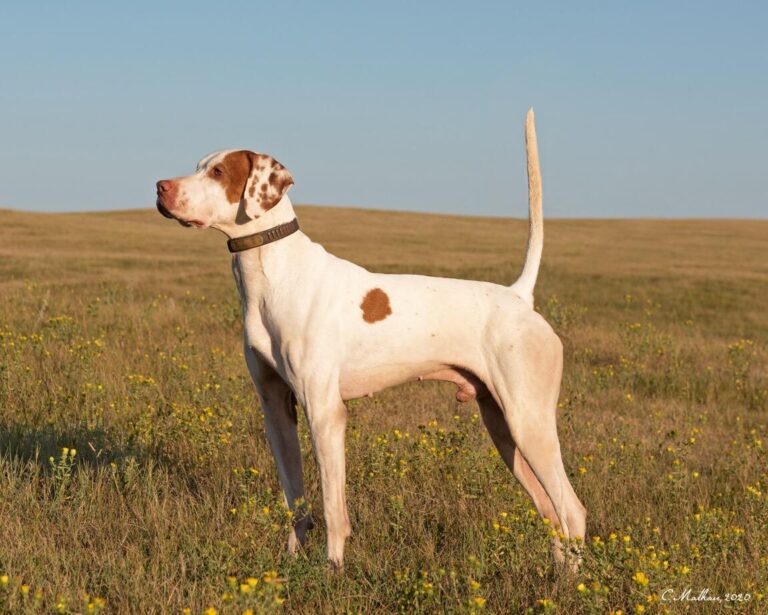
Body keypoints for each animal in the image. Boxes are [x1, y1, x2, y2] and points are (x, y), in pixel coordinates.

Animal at [156, 109, 588, 568]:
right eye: (199, 165)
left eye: (218, 172)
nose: (160, 187)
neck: (273, 273)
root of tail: (519, 296)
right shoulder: (276, 410)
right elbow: (295, 501)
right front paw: (289, 563)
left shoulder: (325, 412)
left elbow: (333, 508)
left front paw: (332, 570)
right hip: (502, 427)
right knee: (550, 510)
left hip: (529, 422)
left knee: (572, 510)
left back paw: (573, 581)